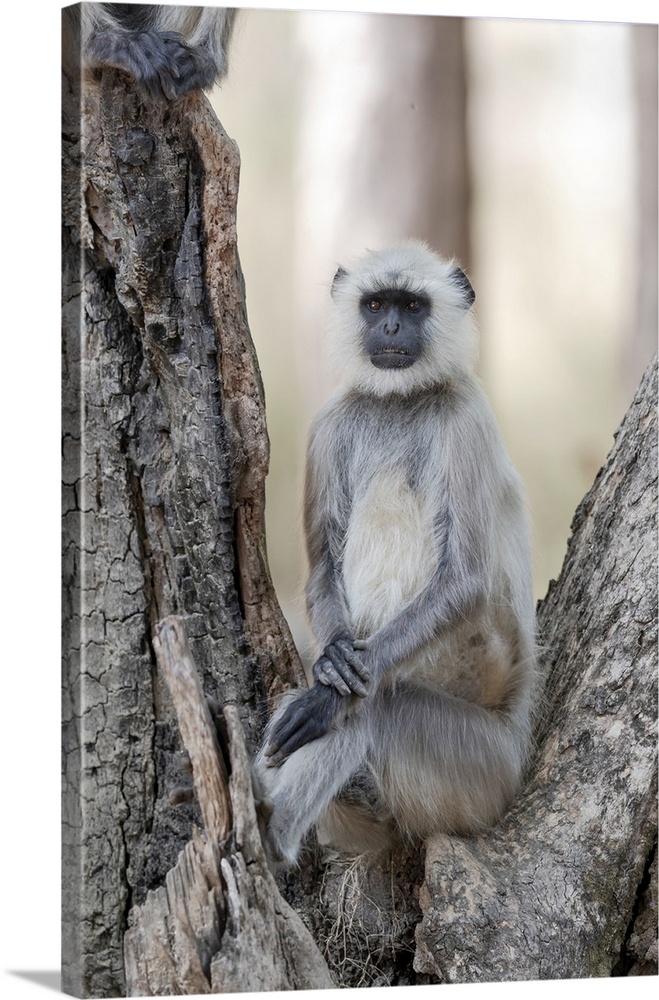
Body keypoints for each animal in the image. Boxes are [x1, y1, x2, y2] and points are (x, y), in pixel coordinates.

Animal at [255, 240, 540, 868]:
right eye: (375, 304)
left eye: (411, 305)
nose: (390, 327)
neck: (399, 401)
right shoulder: (331, 423)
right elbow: (323, 571)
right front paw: (329, 665)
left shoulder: (466, 419)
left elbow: (465, 581)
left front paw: (327, 698)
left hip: (480, 767)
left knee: (377, 705)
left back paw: (270, 831)